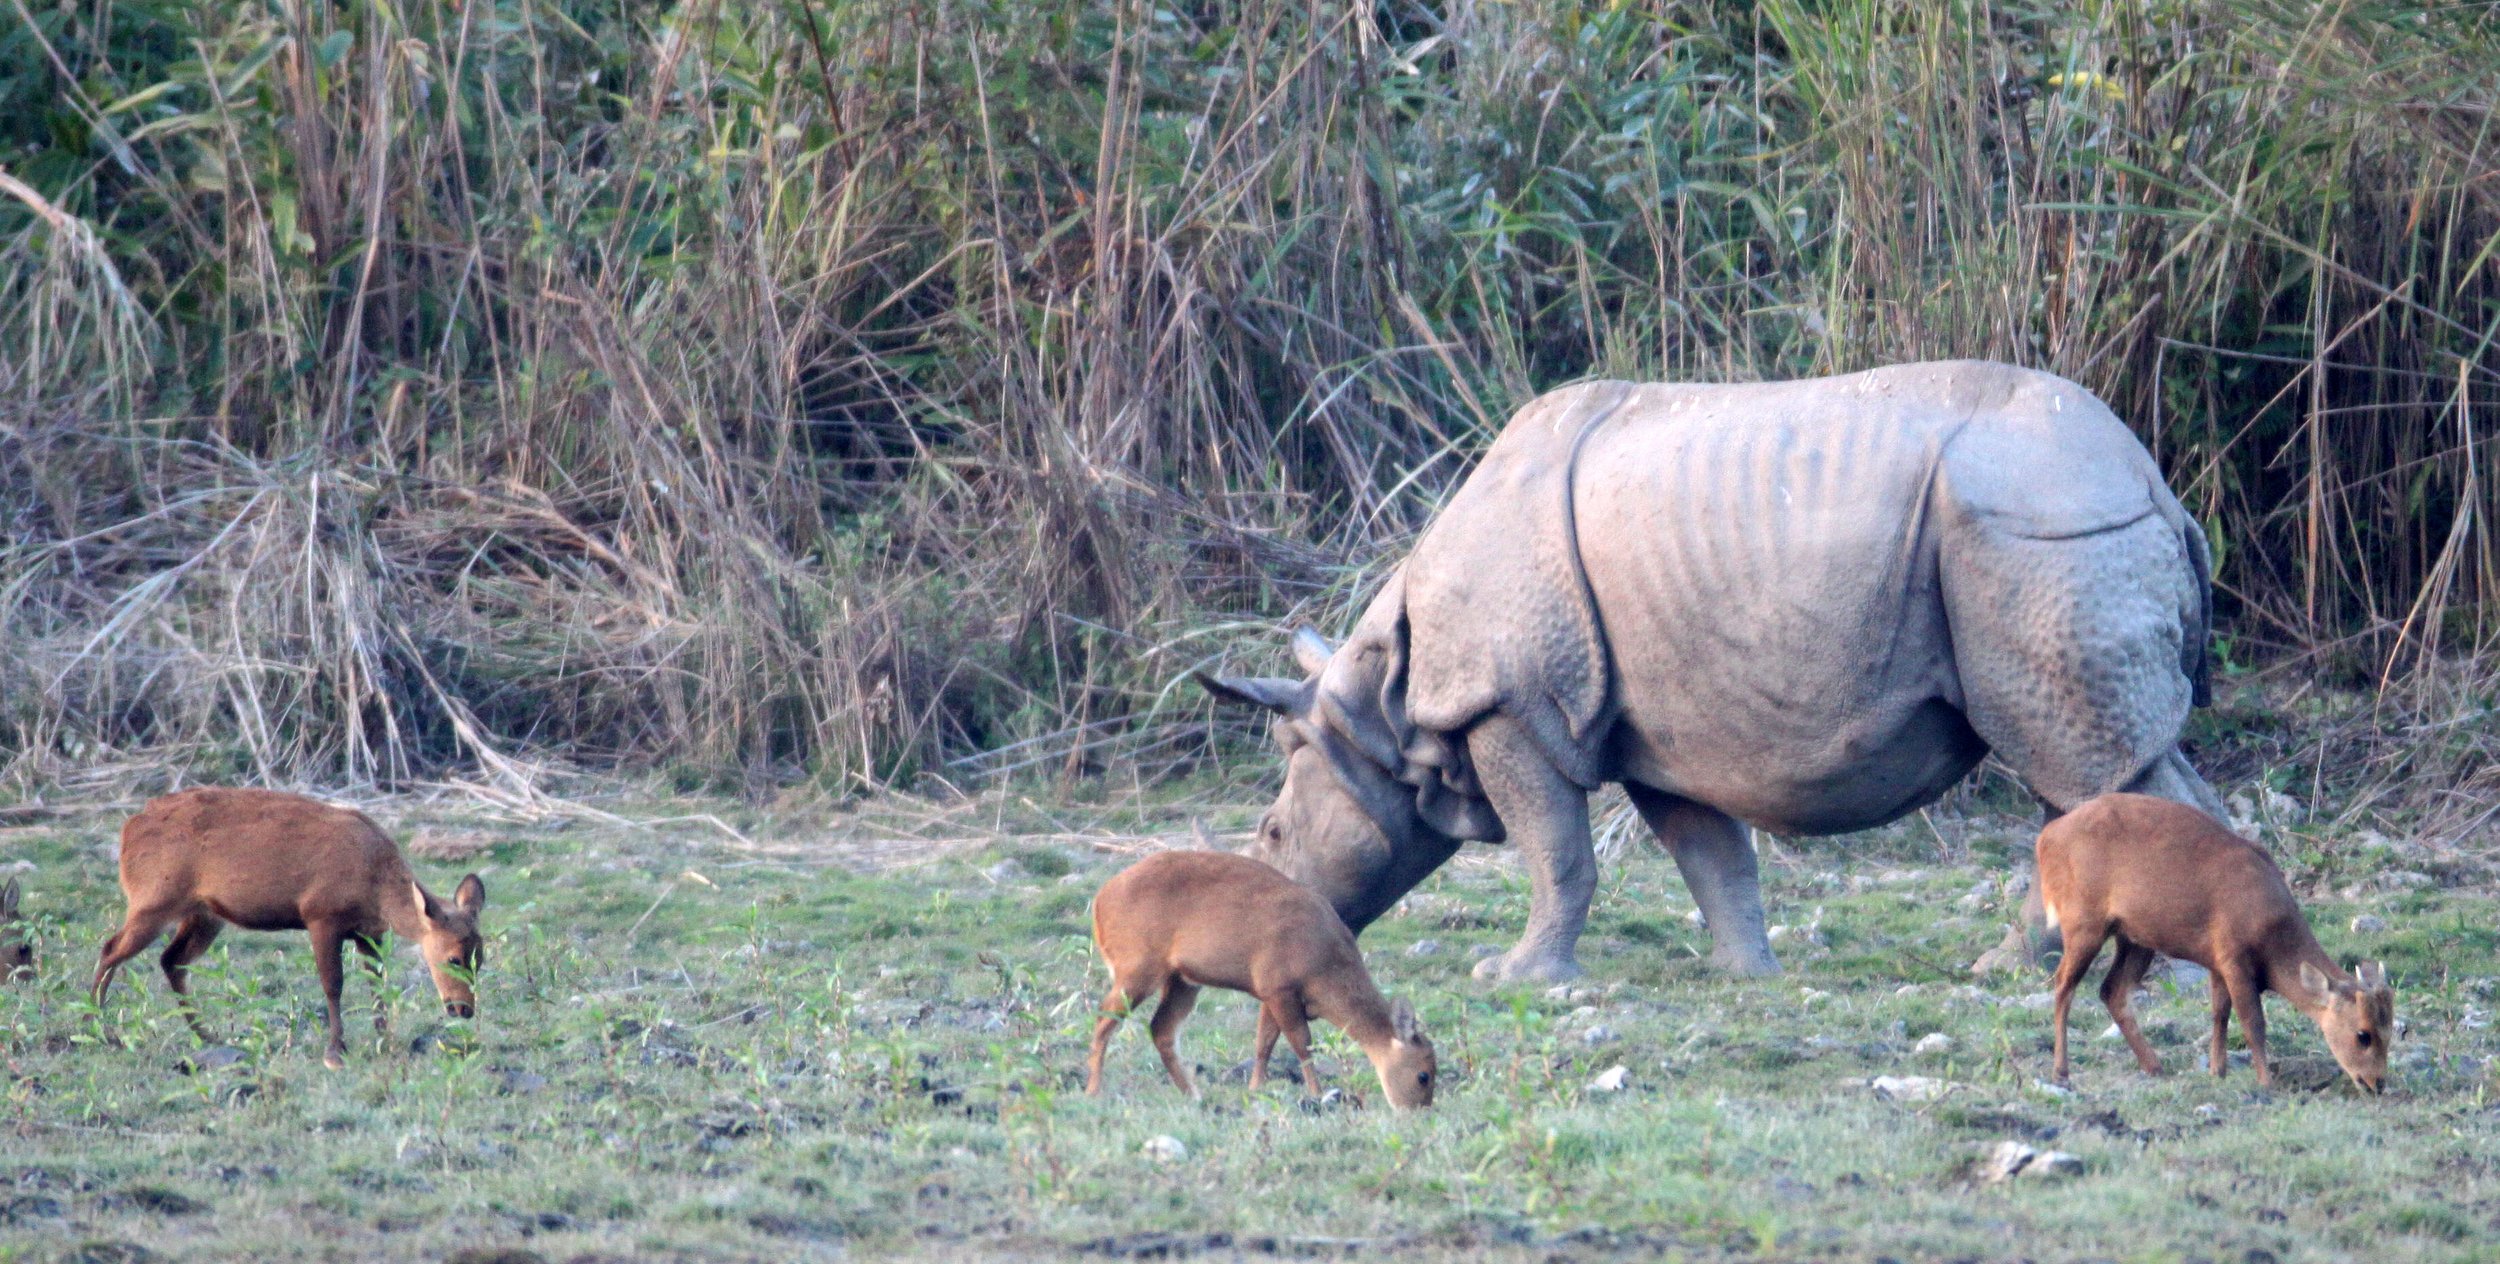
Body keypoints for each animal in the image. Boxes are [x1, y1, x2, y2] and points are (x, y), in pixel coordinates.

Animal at [91, 788, 486, 1069]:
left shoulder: (370, 932)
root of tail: (128, 830)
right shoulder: (321, 914)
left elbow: (377, 982)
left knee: (171, 960)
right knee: (111, 950)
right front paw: (335, 1052)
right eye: (453, 958)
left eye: (480, 959)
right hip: (154, 897)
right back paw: (98, 1029)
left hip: (204, 913)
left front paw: (385, 1040)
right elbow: (333, 985)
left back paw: (208, 1036)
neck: (376, 887)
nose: (463, 1009)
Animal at [1085, 843, 1436, 1108]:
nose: (1416, 1111)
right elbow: (1302, 1043)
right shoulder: (1279, 985)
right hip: (1137, 967)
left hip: (1182, 979)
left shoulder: (1269, 990)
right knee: (1104, 1018)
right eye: (1424, 1075)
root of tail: (1100, 901)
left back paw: (1192, 1093)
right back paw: (1093, 1090)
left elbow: (1264, 1042)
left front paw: (1255, 1088)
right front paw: (1316, 1093)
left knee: (1160, 1029)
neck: (1326, 966)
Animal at [1200, 361, 2223, 983]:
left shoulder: (1509, 707)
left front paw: (1516, 975)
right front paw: (1743, 973)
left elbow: (1555, 849)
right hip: (2056, 541)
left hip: (2041, 541)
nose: (1282, 923)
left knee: (2077, 758)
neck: (1383, 704)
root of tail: (2153, 486)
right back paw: (2078, 964)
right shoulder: (1658, 729)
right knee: (2098, 763)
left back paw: (2097, 970)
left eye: (1275, 832)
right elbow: (1711, 854)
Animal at [2038, 793, 2394, 1094]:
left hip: (2134, 936)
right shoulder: (2234, 954)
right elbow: (2252, 1021)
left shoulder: (2216, 960)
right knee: (2063, 985)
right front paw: (2265, 1082)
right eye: (2362, 1034)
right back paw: (2061, 1071)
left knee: (2112, 990)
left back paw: (2154, 1065)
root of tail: (2046, 838)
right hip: (2083, 921)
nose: (2376, 1084)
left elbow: (2219, 1013)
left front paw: (2217, 1070)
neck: (2271, 934)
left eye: (2390, 1030)